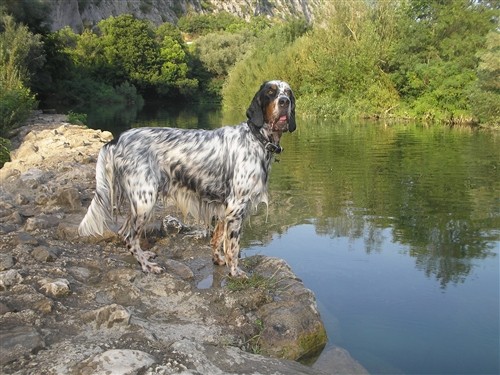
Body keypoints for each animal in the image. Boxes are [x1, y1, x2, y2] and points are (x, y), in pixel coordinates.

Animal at [78, 80, 296, 276]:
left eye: (288, 92)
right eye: (271, 92)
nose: (284, 102)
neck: (256, 139)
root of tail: (117, 140)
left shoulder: (224, 207)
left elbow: (217, 238)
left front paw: (218, 260)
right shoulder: (236, 206)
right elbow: (232, 247)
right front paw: (236, 272)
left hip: (137, 202)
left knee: (124, 233)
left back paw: (145, 257)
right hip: (145, 201)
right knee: (130, 238)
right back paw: (148, 267)